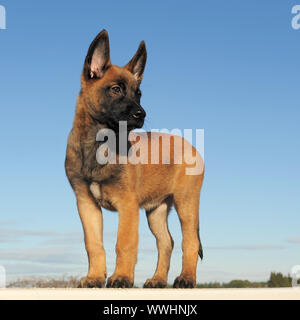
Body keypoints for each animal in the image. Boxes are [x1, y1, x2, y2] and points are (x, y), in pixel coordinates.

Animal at [65, 29, 204, 288]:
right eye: (116, 89)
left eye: (138, 93)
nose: (141, 113)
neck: (99, 142)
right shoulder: (86, 203)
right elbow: (93, 244)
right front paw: (95, 277)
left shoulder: (127, 205)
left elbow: (124, 243)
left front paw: (121, 277)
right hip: (156, 210)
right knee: (166, 242)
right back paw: (158, 280)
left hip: (186, 203)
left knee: (189, 241)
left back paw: (186, 278)